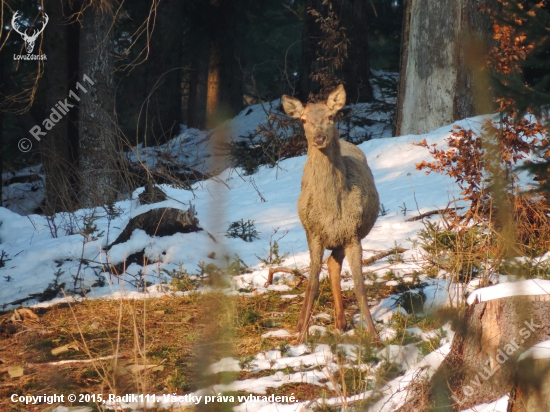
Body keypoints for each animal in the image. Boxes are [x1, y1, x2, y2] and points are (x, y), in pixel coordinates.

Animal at [282, 84, 382, 338]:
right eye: (303, 119)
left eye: (330, 116)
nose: (319, 137)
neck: (330, 211)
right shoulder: (314, 234)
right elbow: (312, 284)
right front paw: (301, 334)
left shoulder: (353, 234)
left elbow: (359, 284)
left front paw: (374, 334)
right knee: (329, 266)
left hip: (341, 239)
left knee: (333, 265)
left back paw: (341, 322)